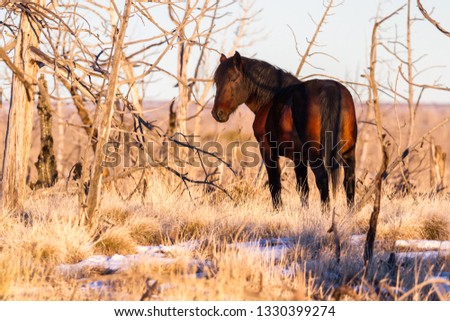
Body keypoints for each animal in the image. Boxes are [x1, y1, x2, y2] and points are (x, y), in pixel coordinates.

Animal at [213, 51, 356, 209]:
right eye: (216, 81)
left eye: (233, 79)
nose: (217, 113)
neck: (271, 99)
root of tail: (330, 88)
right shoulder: (299, 158)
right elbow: (303, 188)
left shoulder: (268, 150)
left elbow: (275, 184)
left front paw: (278, 209)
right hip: (348, 152)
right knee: (349, 181)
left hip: (315, 155)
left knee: (322, 179)